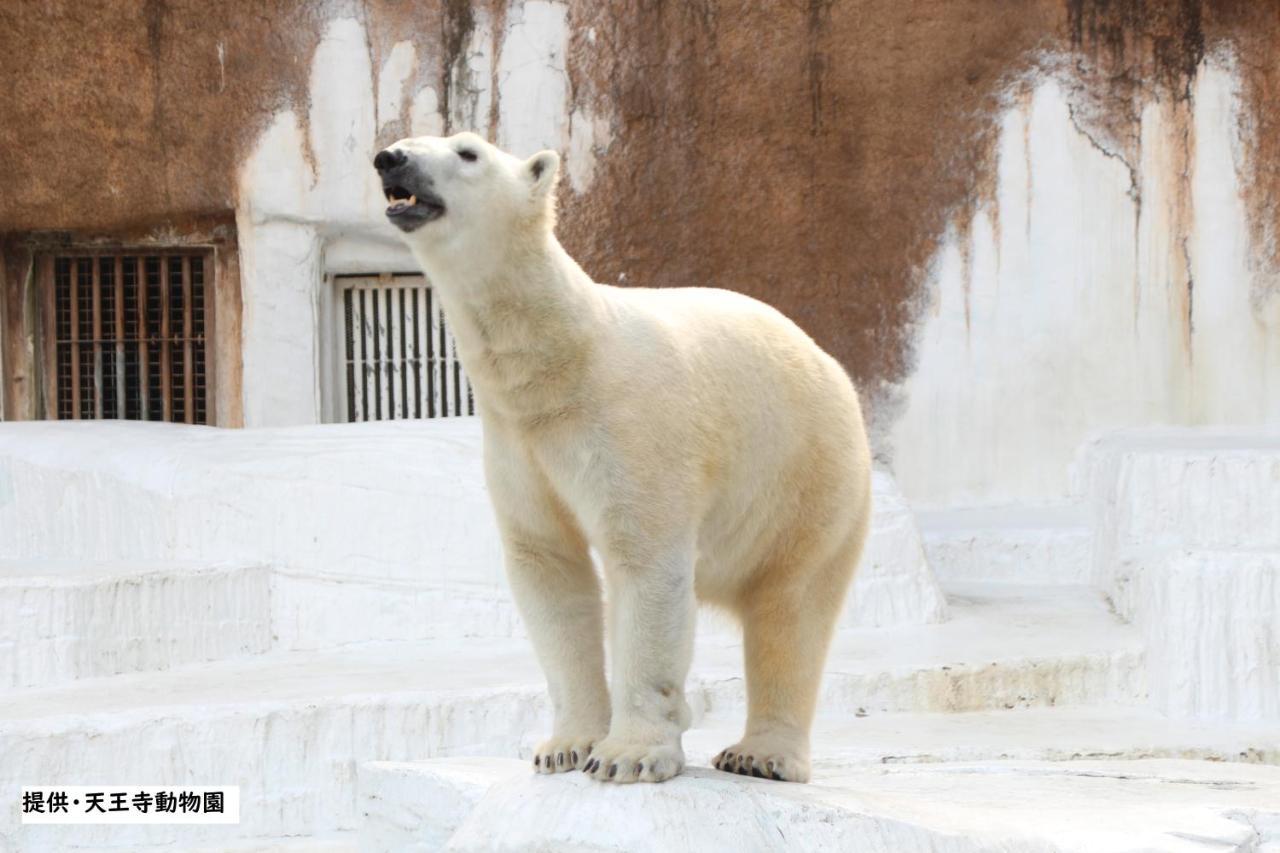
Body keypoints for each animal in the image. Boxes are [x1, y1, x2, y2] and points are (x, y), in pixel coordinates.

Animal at [371, 131, 870, 778]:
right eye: (404, 141)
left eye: (468, 152)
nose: (391, 158)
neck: (564, 359)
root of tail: (834, 368)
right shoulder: (518, 444)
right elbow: (550, 569)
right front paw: (566, 747)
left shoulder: (633, 427)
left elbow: (646, 560)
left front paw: (626, 756)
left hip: (806, 476)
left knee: (791, 608)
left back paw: (759, 754)